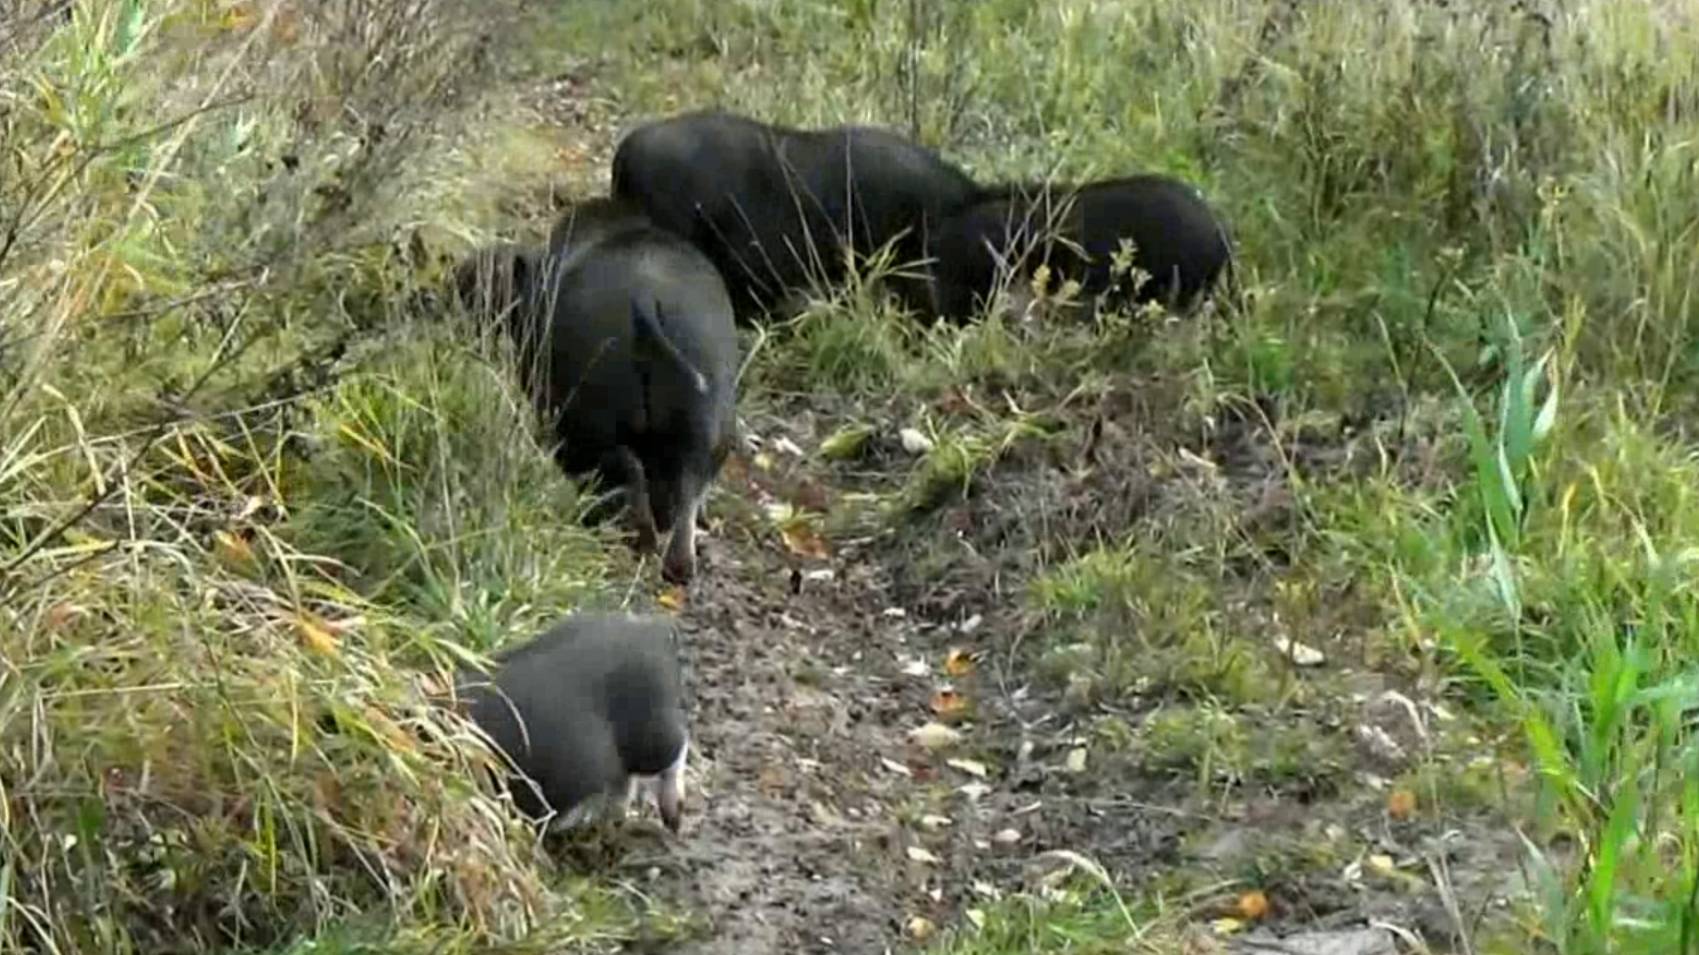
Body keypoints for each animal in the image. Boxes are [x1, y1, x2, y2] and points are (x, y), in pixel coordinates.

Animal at [455, 196, 740, 581]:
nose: (454, 278)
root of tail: (647, 300)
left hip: (585, 425)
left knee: (627, 473)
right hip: (703, 434)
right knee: (683, 499)